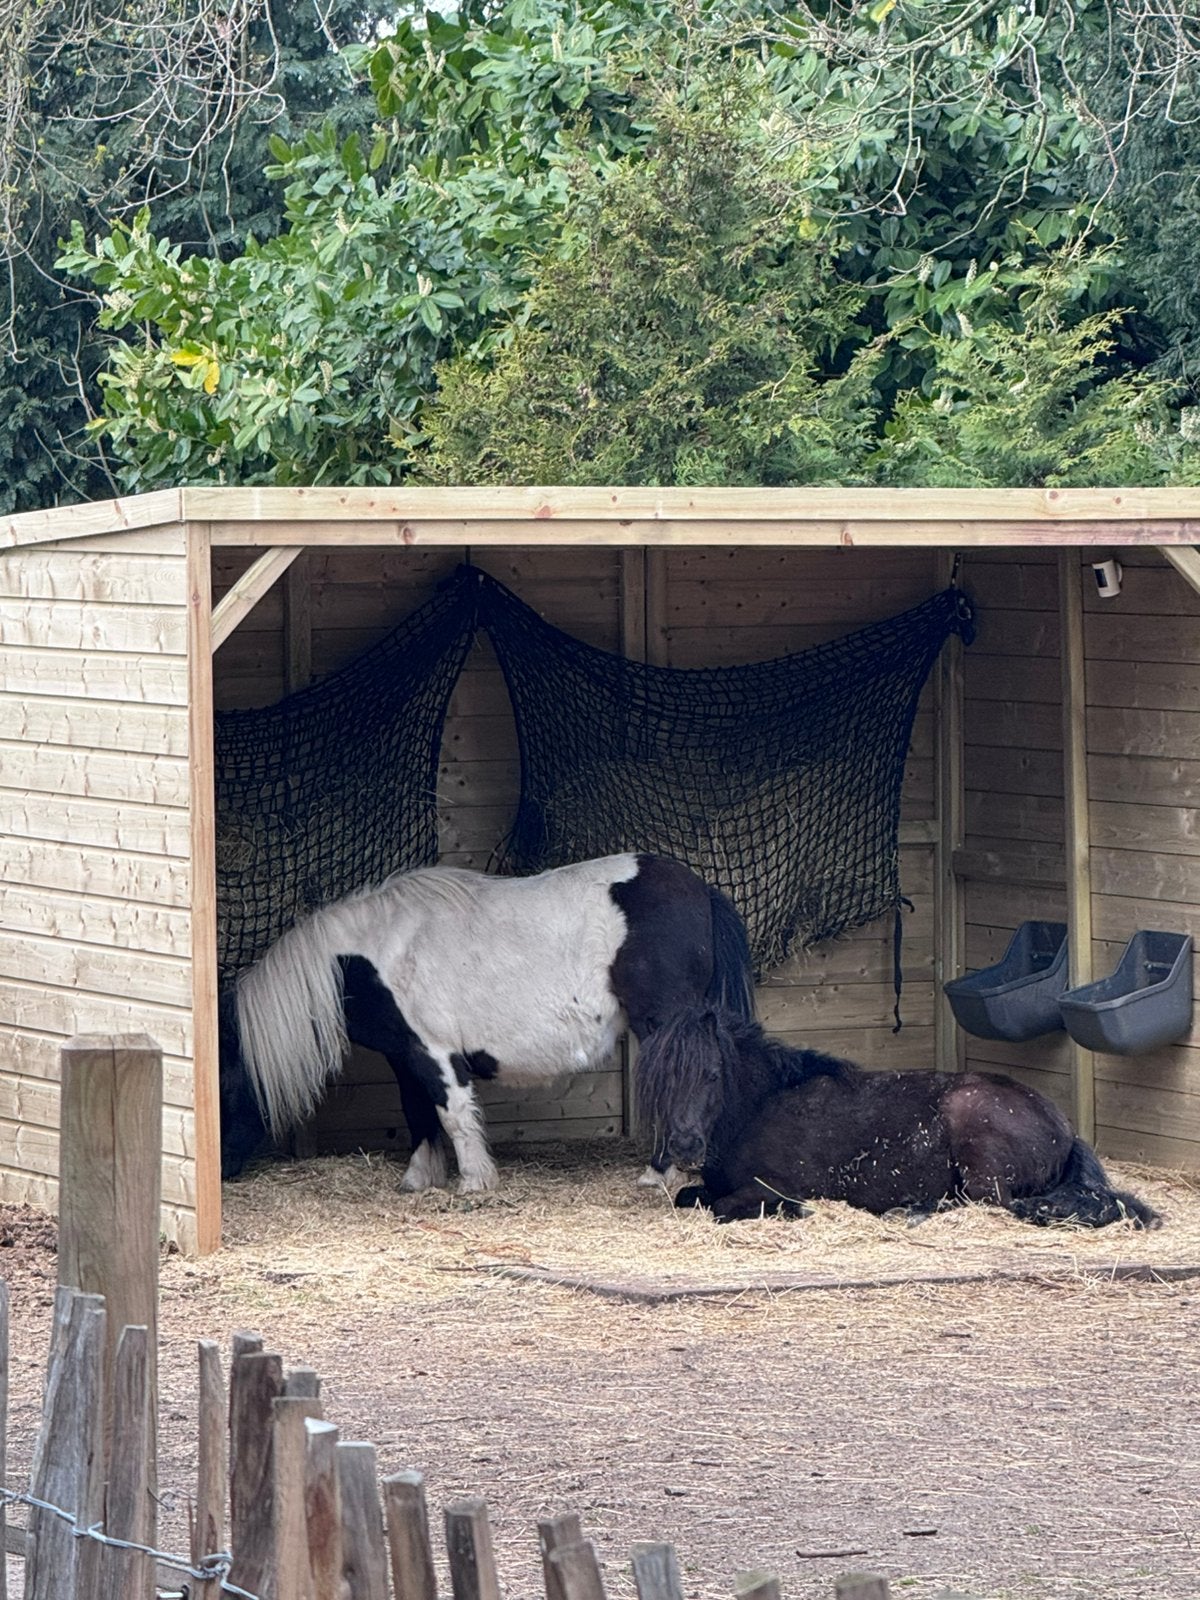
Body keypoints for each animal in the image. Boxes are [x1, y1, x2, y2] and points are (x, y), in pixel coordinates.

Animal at [219, 852, 755, 1190]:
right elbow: (417, 1114)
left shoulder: (436, 1053)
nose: (221, 1169)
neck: (373, 956)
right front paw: (419, 1180)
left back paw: (658, 1173)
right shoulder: (405, 1055)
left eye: (224, 1087)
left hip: (662, 1024)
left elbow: (453, 1115)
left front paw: (475, 1181)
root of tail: (701, 890)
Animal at [636, 1008, 1161, 1229]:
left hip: (978, 1150)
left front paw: (798, 1212)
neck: (759, 1106)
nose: (685, 1146)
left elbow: (723, 1208)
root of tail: (1064, 1129)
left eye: (711, 1074)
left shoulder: (771, 1187)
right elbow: (691, 1197)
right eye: (659, 1080)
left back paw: (909, 1211)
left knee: (990, 1204)